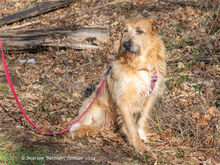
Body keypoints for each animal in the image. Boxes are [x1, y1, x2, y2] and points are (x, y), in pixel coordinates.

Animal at [69, 17, 166, 154]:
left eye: (139, 31)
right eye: (125, 31)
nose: (126, 44)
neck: (139, 65)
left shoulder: (151, 95)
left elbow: (143, 118)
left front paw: (142, 136)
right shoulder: (123, 98)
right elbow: (131, 126)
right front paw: (139, 146)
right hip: (98, 111)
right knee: (77, 126)